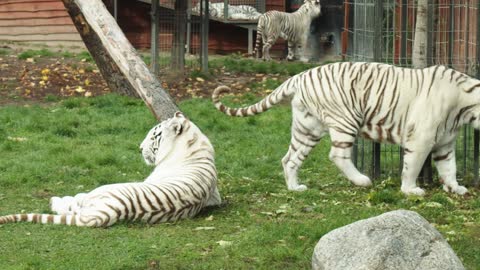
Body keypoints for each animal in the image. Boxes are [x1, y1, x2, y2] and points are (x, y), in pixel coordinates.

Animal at [0, 112, 221, 228]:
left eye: (154, 136)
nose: (139, 148)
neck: (195, 144)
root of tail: (108, 212)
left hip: (100, 191)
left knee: (75, 202)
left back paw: (55, 200)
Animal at [213, 61, 480, 196]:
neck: (463, 107)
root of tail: (298, 76)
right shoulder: (421, 139)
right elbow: (412, 166)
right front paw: (410, 190)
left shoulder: (445, 142)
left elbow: (449, 167)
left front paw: (455, 187)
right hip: (346, 119)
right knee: (337, 155)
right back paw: (362, 180)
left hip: (307, 129)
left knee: (289, 158)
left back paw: (295, 188)